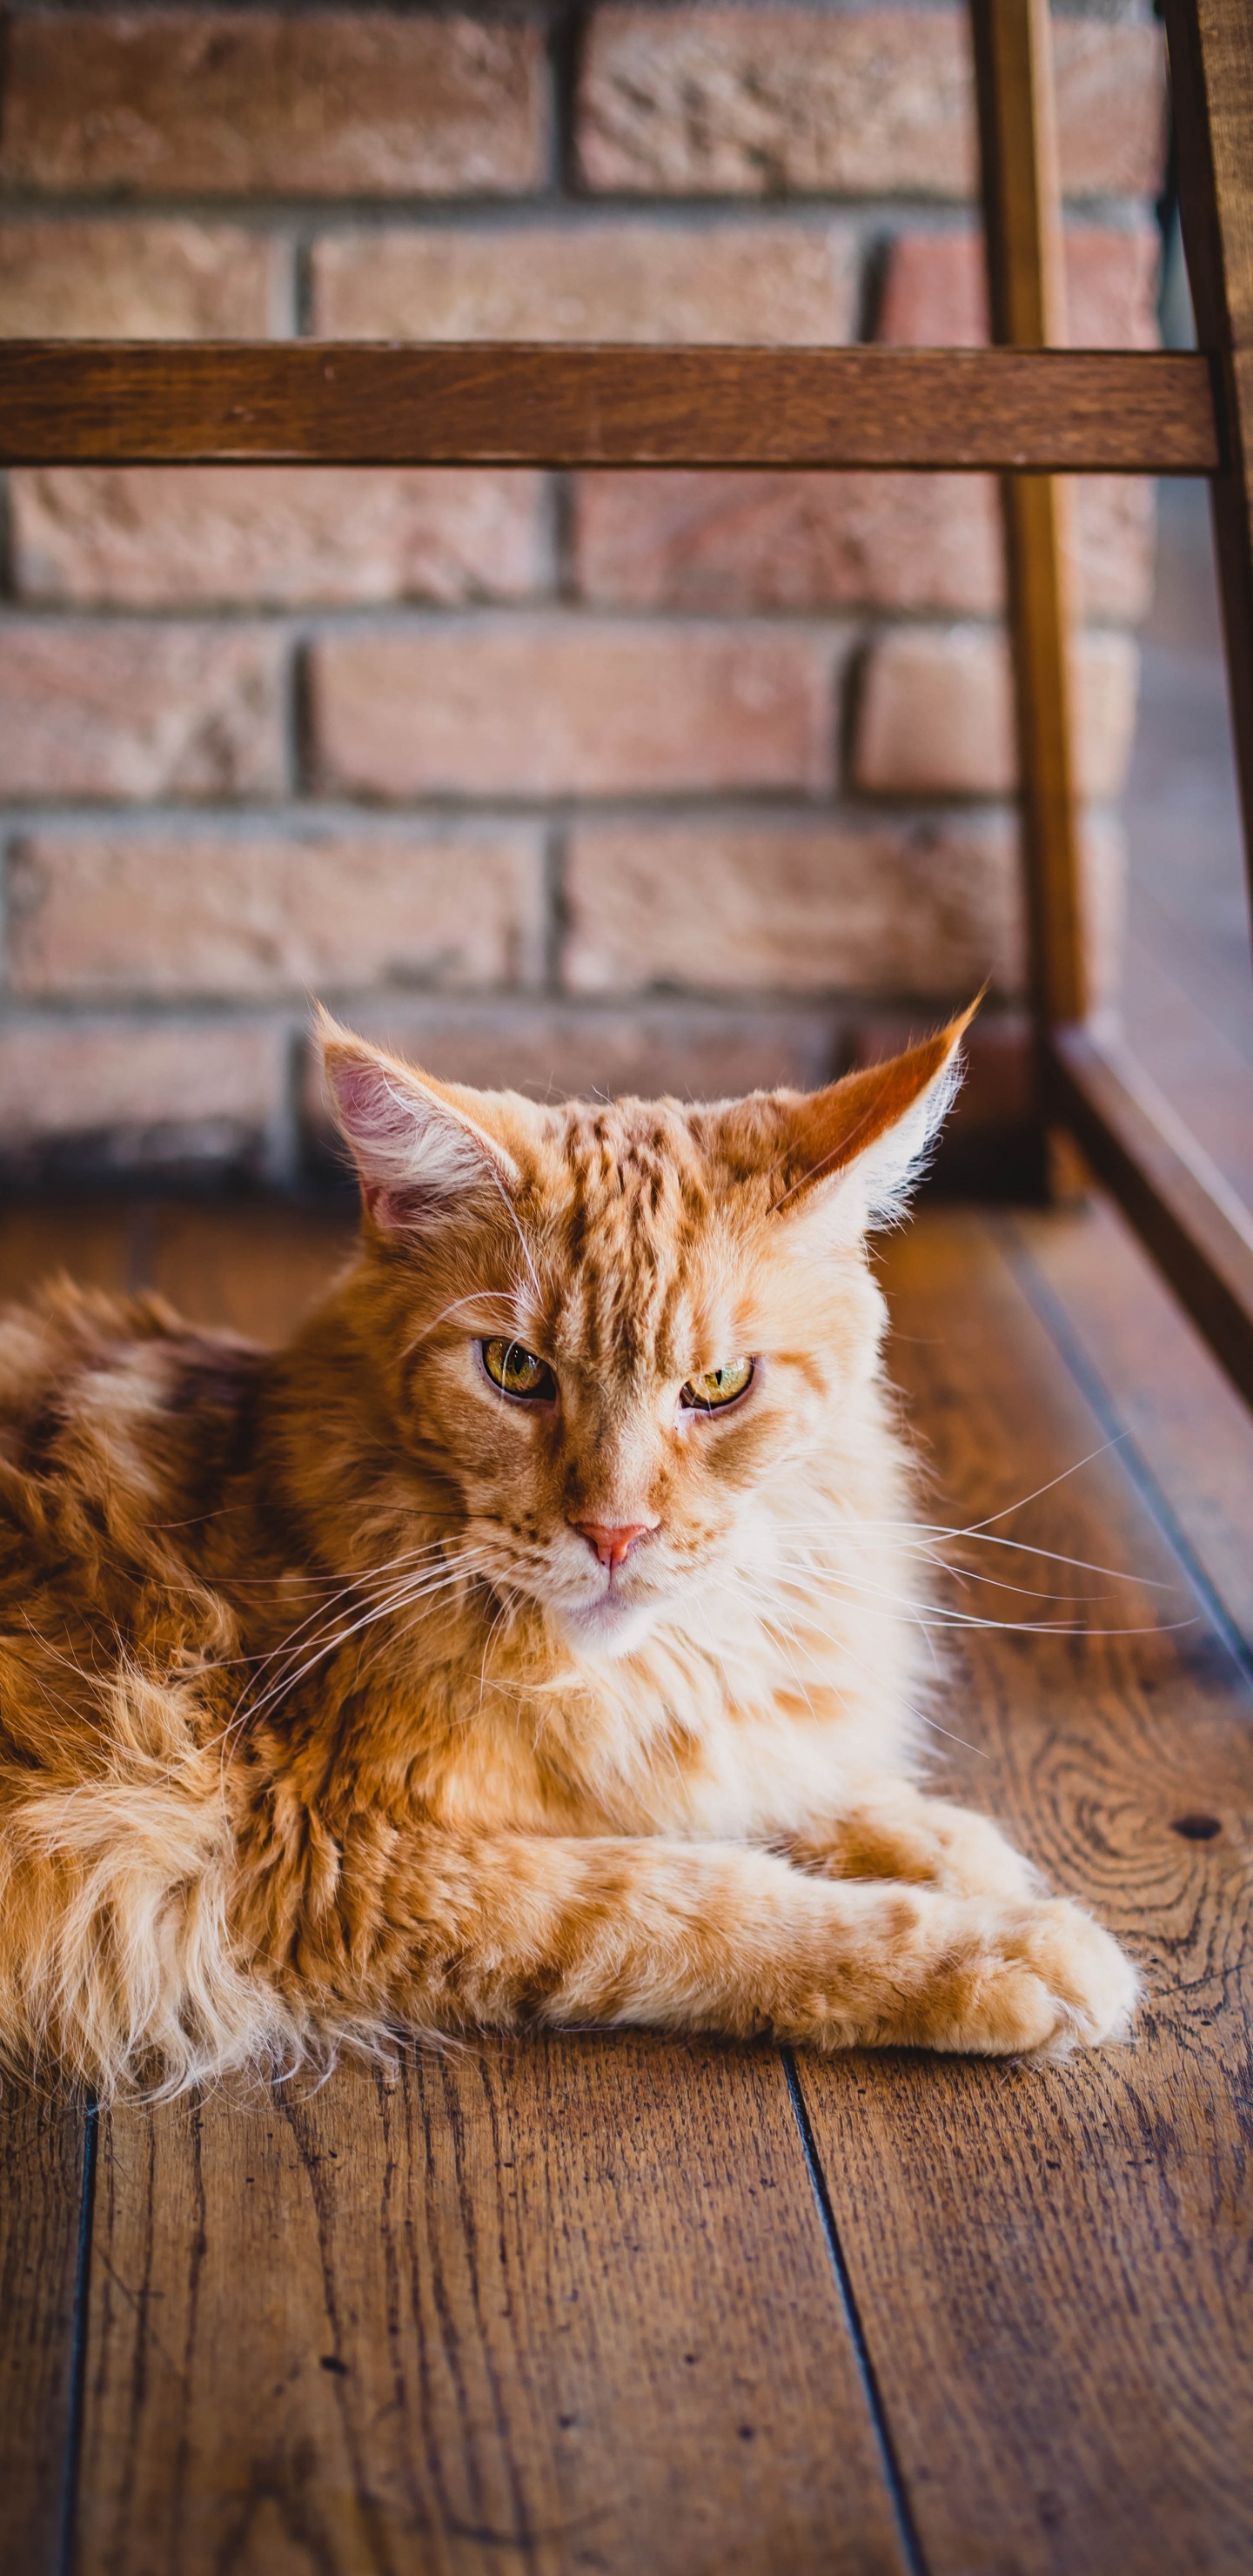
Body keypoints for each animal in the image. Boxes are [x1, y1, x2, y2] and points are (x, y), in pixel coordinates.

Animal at [0, 1004, 1134, 2091]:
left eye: (719, 1383)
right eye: (515, 1368)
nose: (616, 1532)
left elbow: (784, 1788)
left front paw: (944, 1843)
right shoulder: (332, 1855)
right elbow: (686, 1893)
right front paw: (996, 1950)